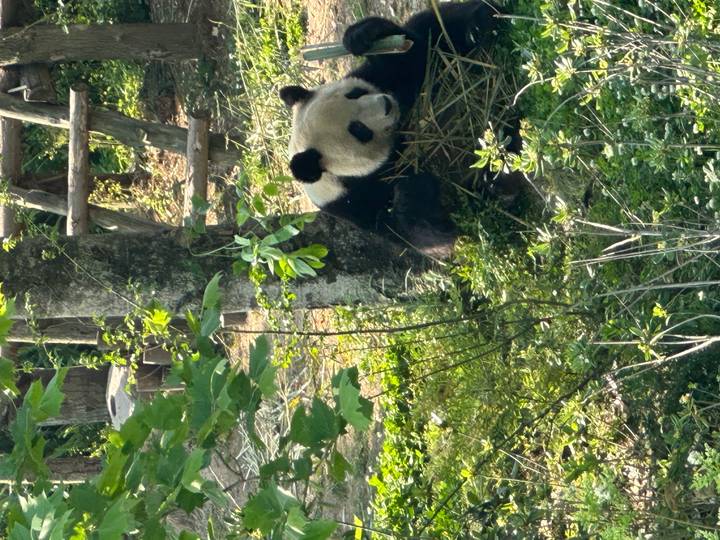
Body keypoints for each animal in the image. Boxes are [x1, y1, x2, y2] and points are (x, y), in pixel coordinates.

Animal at [280, 1, 502, 252]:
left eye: (355, 93)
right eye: (359, 130)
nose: (386, 104)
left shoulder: (380, 76)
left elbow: (414, 56)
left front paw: (362, 36)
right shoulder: (358, 207)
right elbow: (417, 233)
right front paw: (414, 189)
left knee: (442, 26)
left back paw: (481, 23)